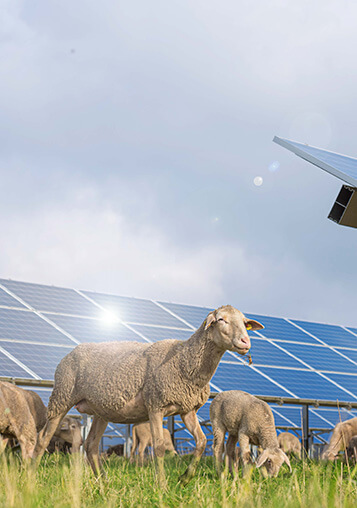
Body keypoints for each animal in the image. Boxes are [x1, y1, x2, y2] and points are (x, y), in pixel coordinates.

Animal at [32, 306, 262, 484]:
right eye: (221, 319)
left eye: (244, 322)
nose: (245, 341)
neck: (185, 360)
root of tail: (70, 353)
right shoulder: (156, 405)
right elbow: (159, 447)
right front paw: (162, 485)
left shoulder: (187, 410)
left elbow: (201, 441)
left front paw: (185, 478)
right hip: (61, 397)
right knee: (43, 439)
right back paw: (30, 476)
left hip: (101, 410)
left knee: (91, 446)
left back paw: (104, 482)